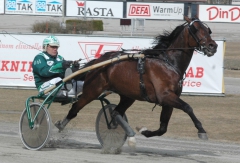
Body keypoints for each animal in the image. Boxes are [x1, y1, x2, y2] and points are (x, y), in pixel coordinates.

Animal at [55, 15, 218, 141]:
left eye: (208, 30)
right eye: (196, 29)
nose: (213, 46)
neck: (168, 63)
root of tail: (98, 61)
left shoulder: (169, 100)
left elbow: (163, 128)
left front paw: (144, 130)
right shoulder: (165, 96)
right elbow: (188, 107)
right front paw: (201, 131)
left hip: (128, 95)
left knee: (115, 113)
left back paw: (127, 132)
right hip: (92, 90)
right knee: (75, 108)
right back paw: (60, 126)